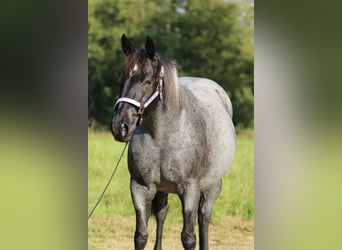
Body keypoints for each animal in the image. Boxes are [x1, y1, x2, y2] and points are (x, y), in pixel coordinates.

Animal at [111, 34, 235, 250]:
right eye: (121, 78)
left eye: (148, 80)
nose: (121, 126)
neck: (163, 137)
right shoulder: (140, 187)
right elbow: (141, 235)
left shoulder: (190, 189)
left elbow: (188, 237)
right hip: (162, 189)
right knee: (162, 214)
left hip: (212, 185)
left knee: (204, 217)